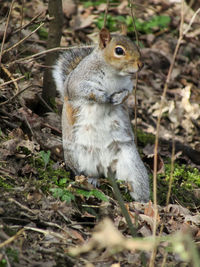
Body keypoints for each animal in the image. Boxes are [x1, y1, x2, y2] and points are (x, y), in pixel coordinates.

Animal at [52, 27, 149, 203]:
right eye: (119, 50)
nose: (141, 64)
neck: (113, 73)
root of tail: (106, 165)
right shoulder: (78, 82)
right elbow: (85, 92)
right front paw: (104, 97)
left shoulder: (127, 85)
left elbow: (126, 93)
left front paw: (118, 98)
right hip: (79, 157)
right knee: (87, 173)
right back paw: (91, 179)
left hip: (131, 164)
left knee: (136, 183)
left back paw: (144, 202)